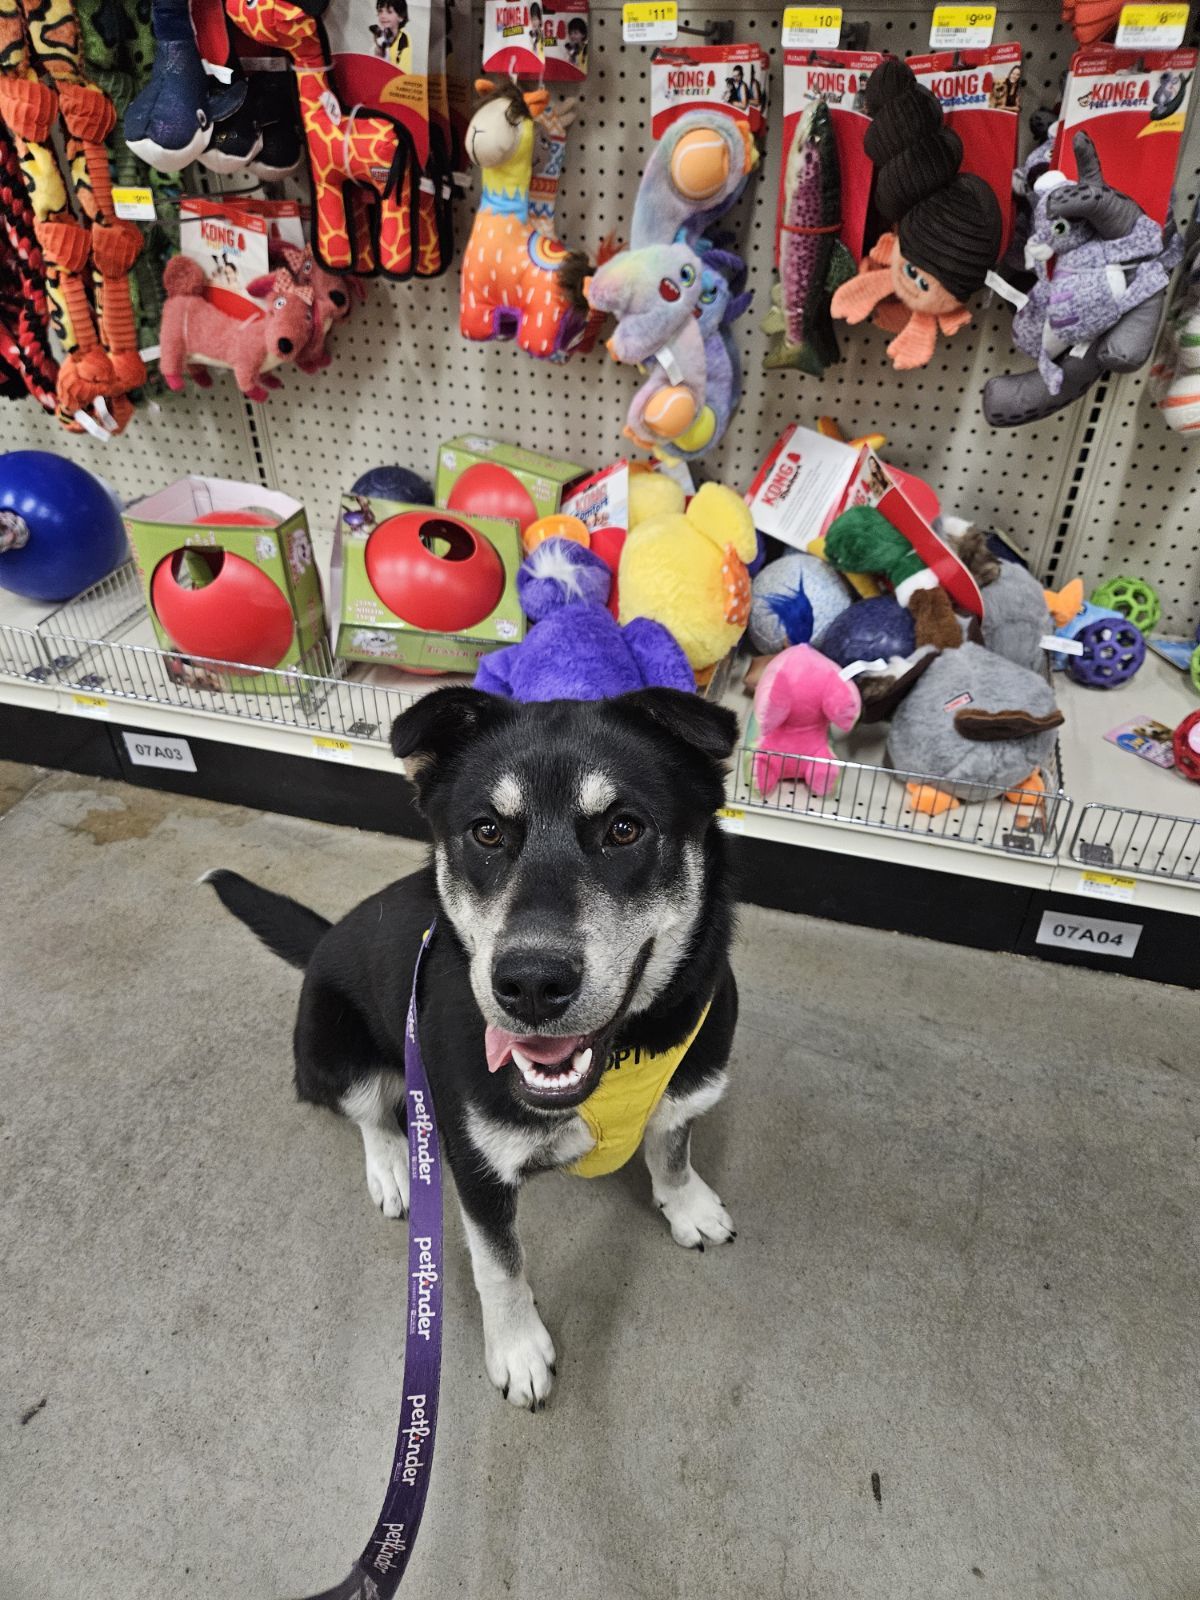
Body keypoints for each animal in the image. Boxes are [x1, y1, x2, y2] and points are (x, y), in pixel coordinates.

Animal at [211, 681, 748, 1408]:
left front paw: (686, 1202)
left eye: (625, 828)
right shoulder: (477, 1165)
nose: (531, 984)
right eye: (487, 831)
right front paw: (518, 1350)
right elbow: (500, 1264)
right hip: (336, 1044)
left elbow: (672, 1145)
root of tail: (322, 940)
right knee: (368, 1111)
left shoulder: (686, 1089)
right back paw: (393, 1165)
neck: (620, 1057)